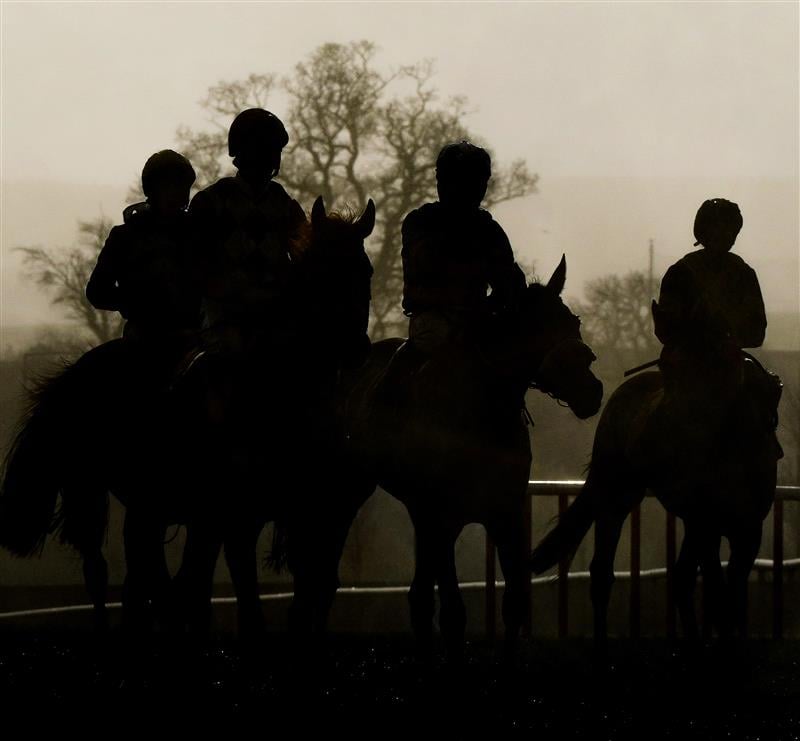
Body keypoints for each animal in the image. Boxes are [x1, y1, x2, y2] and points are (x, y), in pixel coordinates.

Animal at [288, 256, 600, 660]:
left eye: (572, 323)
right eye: (537, 329)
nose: (593, 390)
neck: (482, 412)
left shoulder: (505, 514)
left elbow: (514, 602)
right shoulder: (444, 517)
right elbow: (454, 612)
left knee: (414, 595)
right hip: (347, 489)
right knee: (323, 574)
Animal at [532, 352, 780, 648]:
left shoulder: (747, 531)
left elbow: (729, 598)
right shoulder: (707, 526)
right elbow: (717, 595)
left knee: (682, 578)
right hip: (616, 497)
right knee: (602, 572)